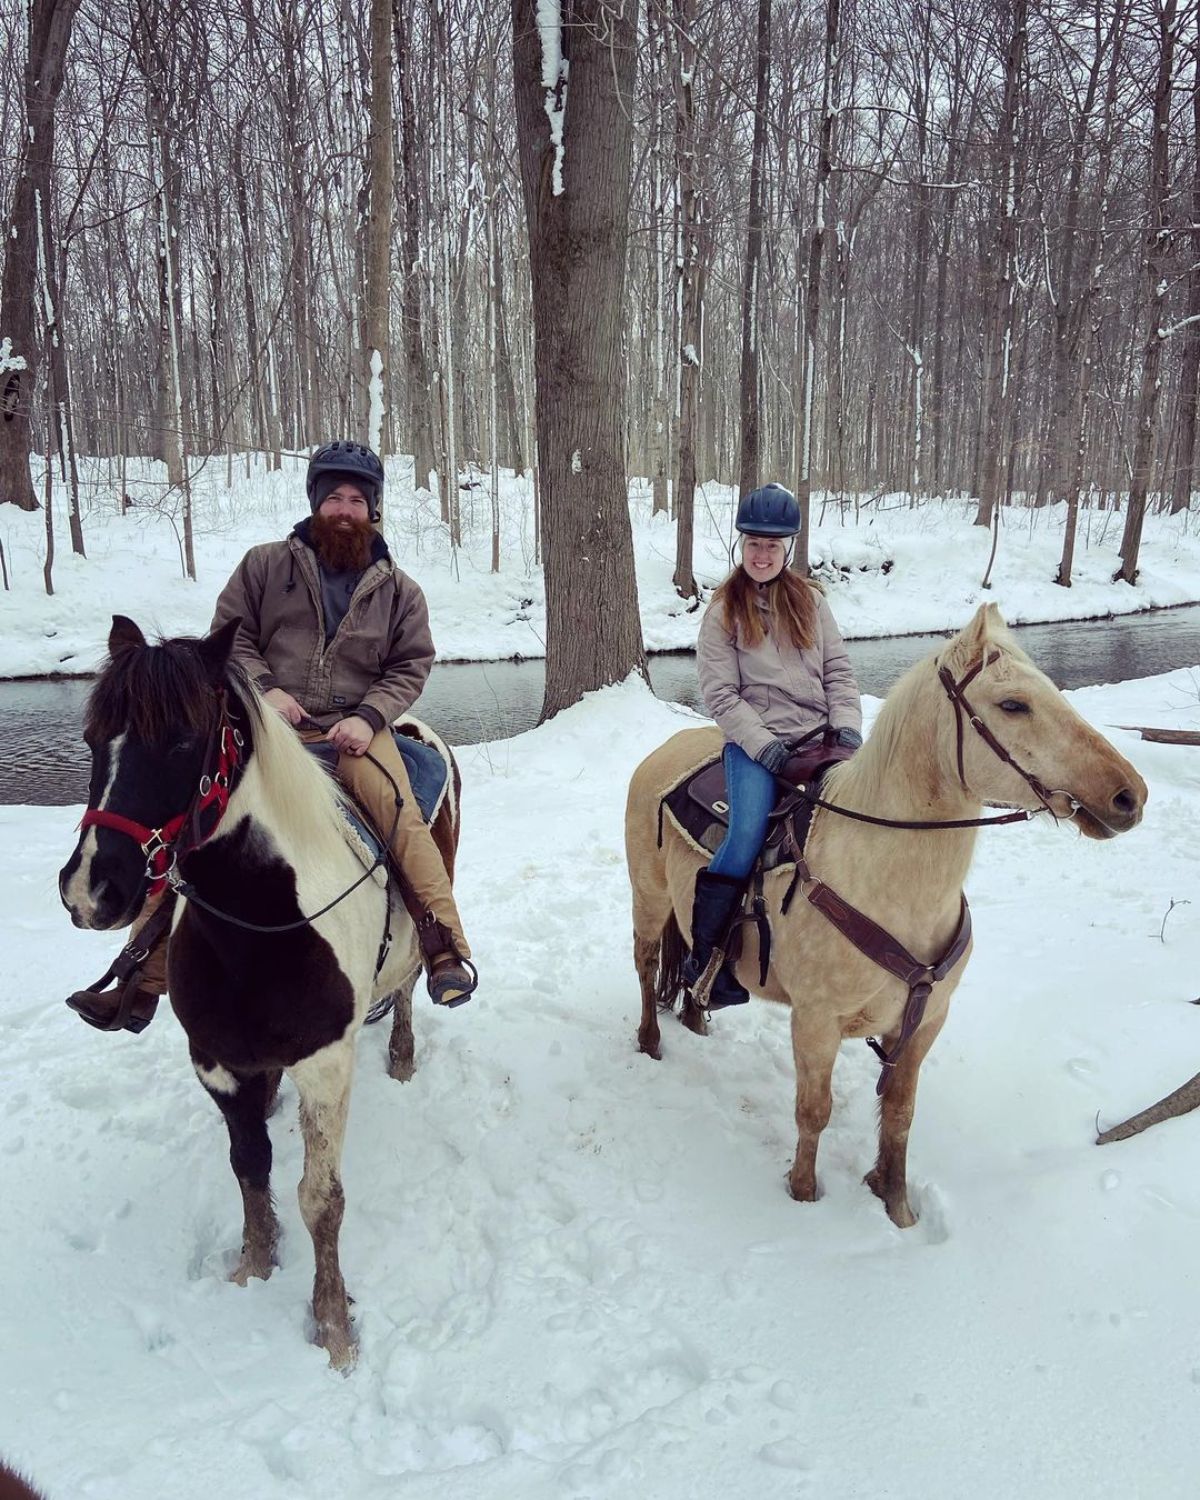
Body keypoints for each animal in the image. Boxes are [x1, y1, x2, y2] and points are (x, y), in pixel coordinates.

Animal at [56, 612, 462, 1374]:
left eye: (181, 739)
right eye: (95, 739)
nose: (91, 890)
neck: (261, 923)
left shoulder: (326, 1067)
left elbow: (320, 1199)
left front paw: (332, 1325)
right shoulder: (215, 1060)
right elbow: (249, 1167)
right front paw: (255, 1264)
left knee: (412, 981)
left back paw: (403, 1051)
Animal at [624, 603, 1146, 1224]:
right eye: (1013, 704)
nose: (1129, 795)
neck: (888, 882)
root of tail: (667, 749)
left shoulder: (925, 1024)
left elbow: (899, 1115)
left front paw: (896, 1206)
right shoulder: (816, 1022)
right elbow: (813, 1111)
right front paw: (803, 1195)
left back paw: (699, 1018)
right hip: (649, 900)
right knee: (646, 965)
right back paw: (650, 1042)